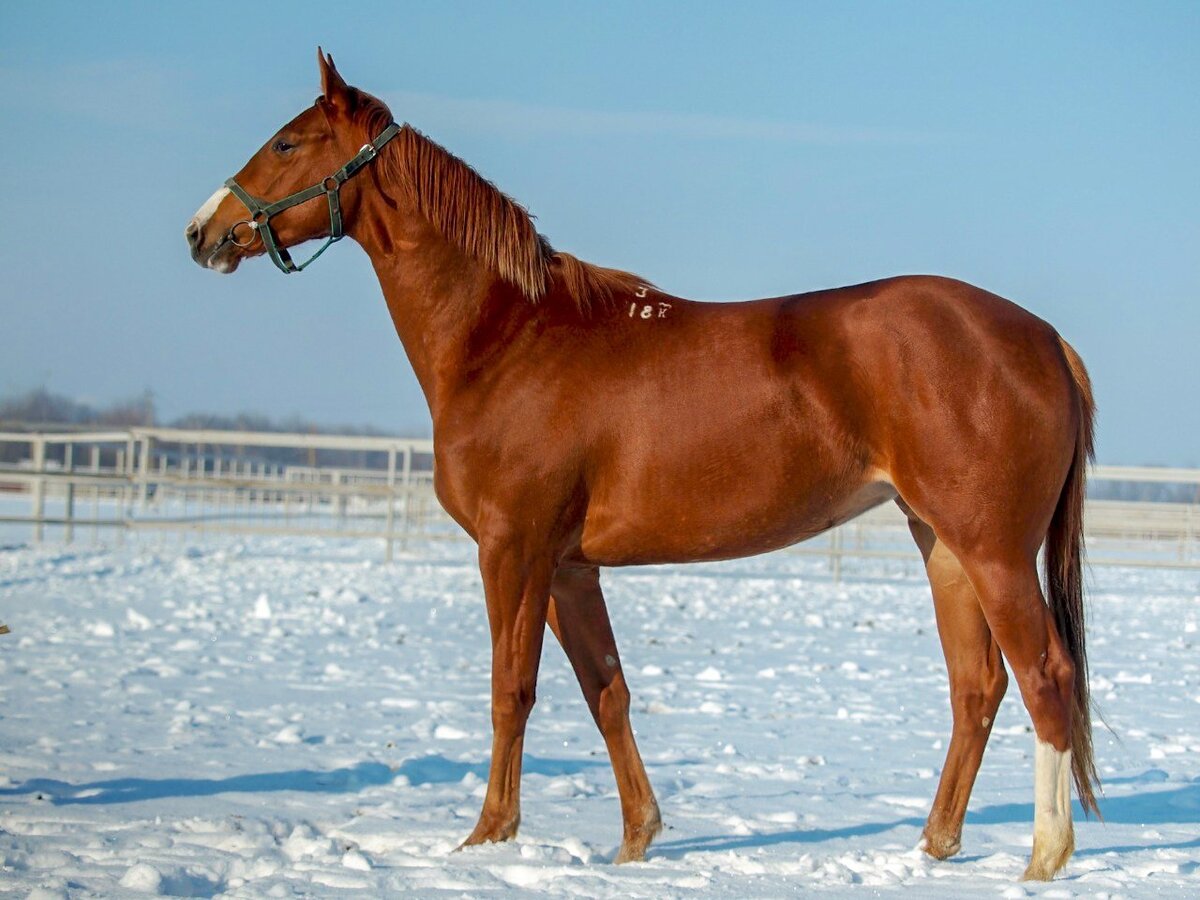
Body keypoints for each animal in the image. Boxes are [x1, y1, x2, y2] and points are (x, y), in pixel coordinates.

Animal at [187, 54, 1099, 883]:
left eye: (286, 142)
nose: (200, 231)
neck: (510, 337)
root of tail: (1045, 338)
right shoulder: (567, 568)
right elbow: (607, 692)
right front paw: (635, 841)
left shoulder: (512, 551)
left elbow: (511, 689)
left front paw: (487, 839)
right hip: (942, 545)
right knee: (977, 686)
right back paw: (934, 846)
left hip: (993, 551)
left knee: (1046, 676)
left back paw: (1044, 858)